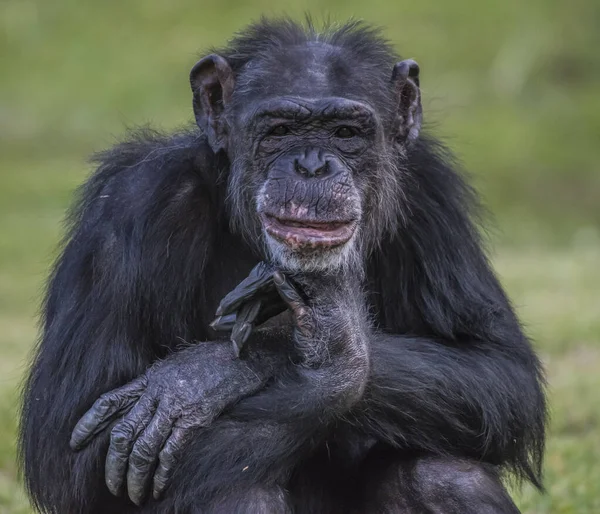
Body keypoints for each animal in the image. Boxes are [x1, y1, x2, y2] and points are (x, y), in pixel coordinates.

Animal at [18, 17, 548, 512]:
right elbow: (68, 453)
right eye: (280, 131)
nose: (311, 166)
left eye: (345, 132)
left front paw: (216, 372)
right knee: (237, 490)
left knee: (442, 476)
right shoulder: (133, 206)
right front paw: (331, 358)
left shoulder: (431, 191)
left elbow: (500, 369)